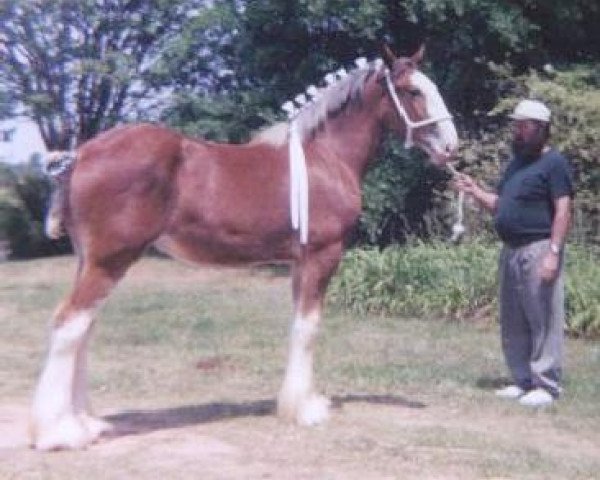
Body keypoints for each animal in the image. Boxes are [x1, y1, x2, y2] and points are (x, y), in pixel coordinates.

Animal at [30, 47, 458, 450]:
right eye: (413, 91)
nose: (452, 147)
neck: (325, 159)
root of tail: (80, 155)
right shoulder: (323, 256)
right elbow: (309, 327)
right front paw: (306, 410)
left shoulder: (299, 263)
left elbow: (297, 326)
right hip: (110, 261)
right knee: (70, 324)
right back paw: (61, 432)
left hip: (91, 261)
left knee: (84, 327)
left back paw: (85, 422)